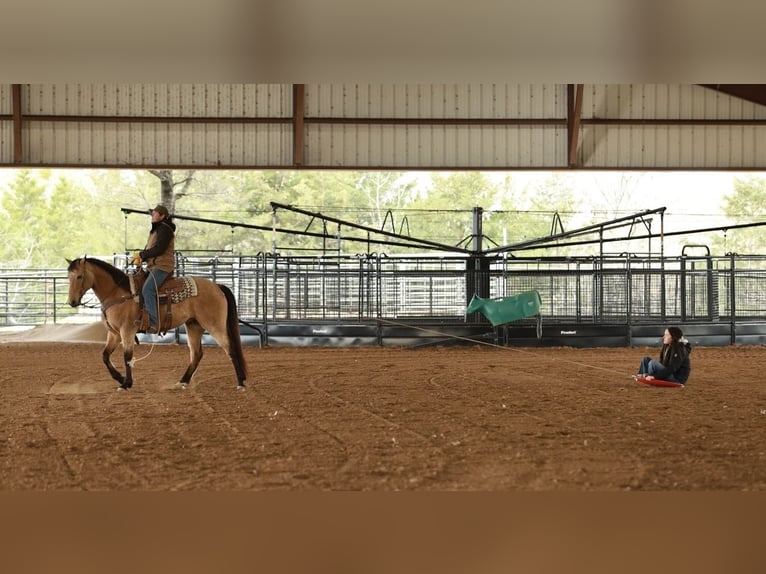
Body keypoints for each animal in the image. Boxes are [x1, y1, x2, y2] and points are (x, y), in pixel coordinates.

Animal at [66, 256, 248, 391]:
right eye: (68, 277)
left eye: (79, 276)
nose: (72, 302)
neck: (117, 293)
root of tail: (217, 286)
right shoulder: (114, 334)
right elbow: (105, 356)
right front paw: (120, 378)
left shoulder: (127, 331)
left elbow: (127, 357)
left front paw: (126, 383)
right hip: (193, 325)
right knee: (196, 354)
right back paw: (183, 381)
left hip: (214, 325)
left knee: (230, 349)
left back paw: (240, 383)